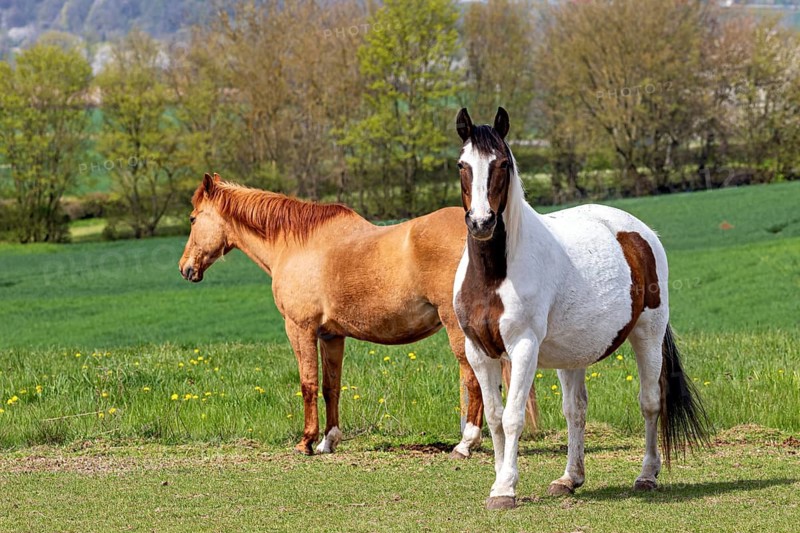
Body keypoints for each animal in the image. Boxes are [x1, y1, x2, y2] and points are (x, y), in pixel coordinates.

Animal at [178, 173, 538, 457]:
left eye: (194, 219)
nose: (186, 269)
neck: (296, 245)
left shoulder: (300, 329)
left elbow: (307, 383)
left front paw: (306, 442)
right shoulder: (331, 335)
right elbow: (330, 386)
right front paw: (328, 441)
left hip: (457, 327)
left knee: (472, 376)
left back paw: (466, 443)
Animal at [452, 107, 711, 509]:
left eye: (503, 164)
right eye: (462, 165)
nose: (482, 222)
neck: (493, 275)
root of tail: (641, 234)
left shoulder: (523, 347)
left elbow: (512, 418)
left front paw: (506, 488)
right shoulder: (479, 351)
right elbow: (494, 417)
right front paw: (498, 482)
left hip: (648, 335)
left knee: (651, 402)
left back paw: (647, 475)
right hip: (571, 354)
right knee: (575, 410)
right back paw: (569, 478)